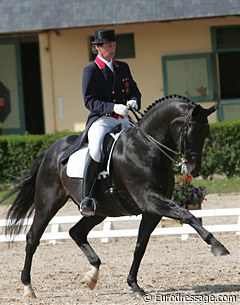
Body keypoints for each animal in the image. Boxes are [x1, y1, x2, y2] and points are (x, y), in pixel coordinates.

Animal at [2, 94, 231, 296]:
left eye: (206, 133)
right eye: (191, 133)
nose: (194, 170)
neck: (147, 147)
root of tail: (51, 150)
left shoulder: (152, 211)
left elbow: (140, 245)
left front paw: (134, 285)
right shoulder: (150, 200)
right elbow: (187, 215)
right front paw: (218, 246)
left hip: (100, 210)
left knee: (76, 232)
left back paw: (92, 276)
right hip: (48, 201)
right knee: (33, 237)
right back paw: (28, 288)